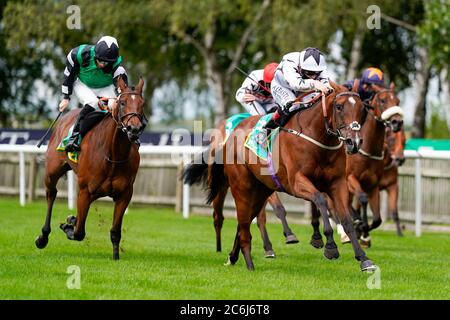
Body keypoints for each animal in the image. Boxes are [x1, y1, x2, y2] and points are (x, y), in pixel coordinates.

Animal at [34, 77, 146, 260]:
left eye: (142, 104)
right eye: (122, 102)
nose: (134, 129)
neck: (113, 154)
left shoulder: (124, 194)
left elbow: (115, 232)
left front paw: (116, 257)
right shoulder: (85, 191)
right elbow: (79, 232)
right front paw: (69, 226)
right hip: (52, 172)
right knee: (51, 194)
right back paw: (43, 237)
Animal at [183, 81, 376, 272]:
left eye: (363, 110)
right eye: (339, 106)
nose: (354, 142)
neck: (317, 138)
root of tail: (229, 136)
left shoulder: (338, 184)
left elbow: (347, 220)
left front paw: (364, 259)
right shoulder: (296, 182)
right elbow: (320, 200)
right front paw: (330, 247)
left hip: (260, 191)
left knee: (244, 222)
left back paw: (233, 256)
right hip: (242, 188)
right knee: (239, 221)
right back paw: (247, 261)